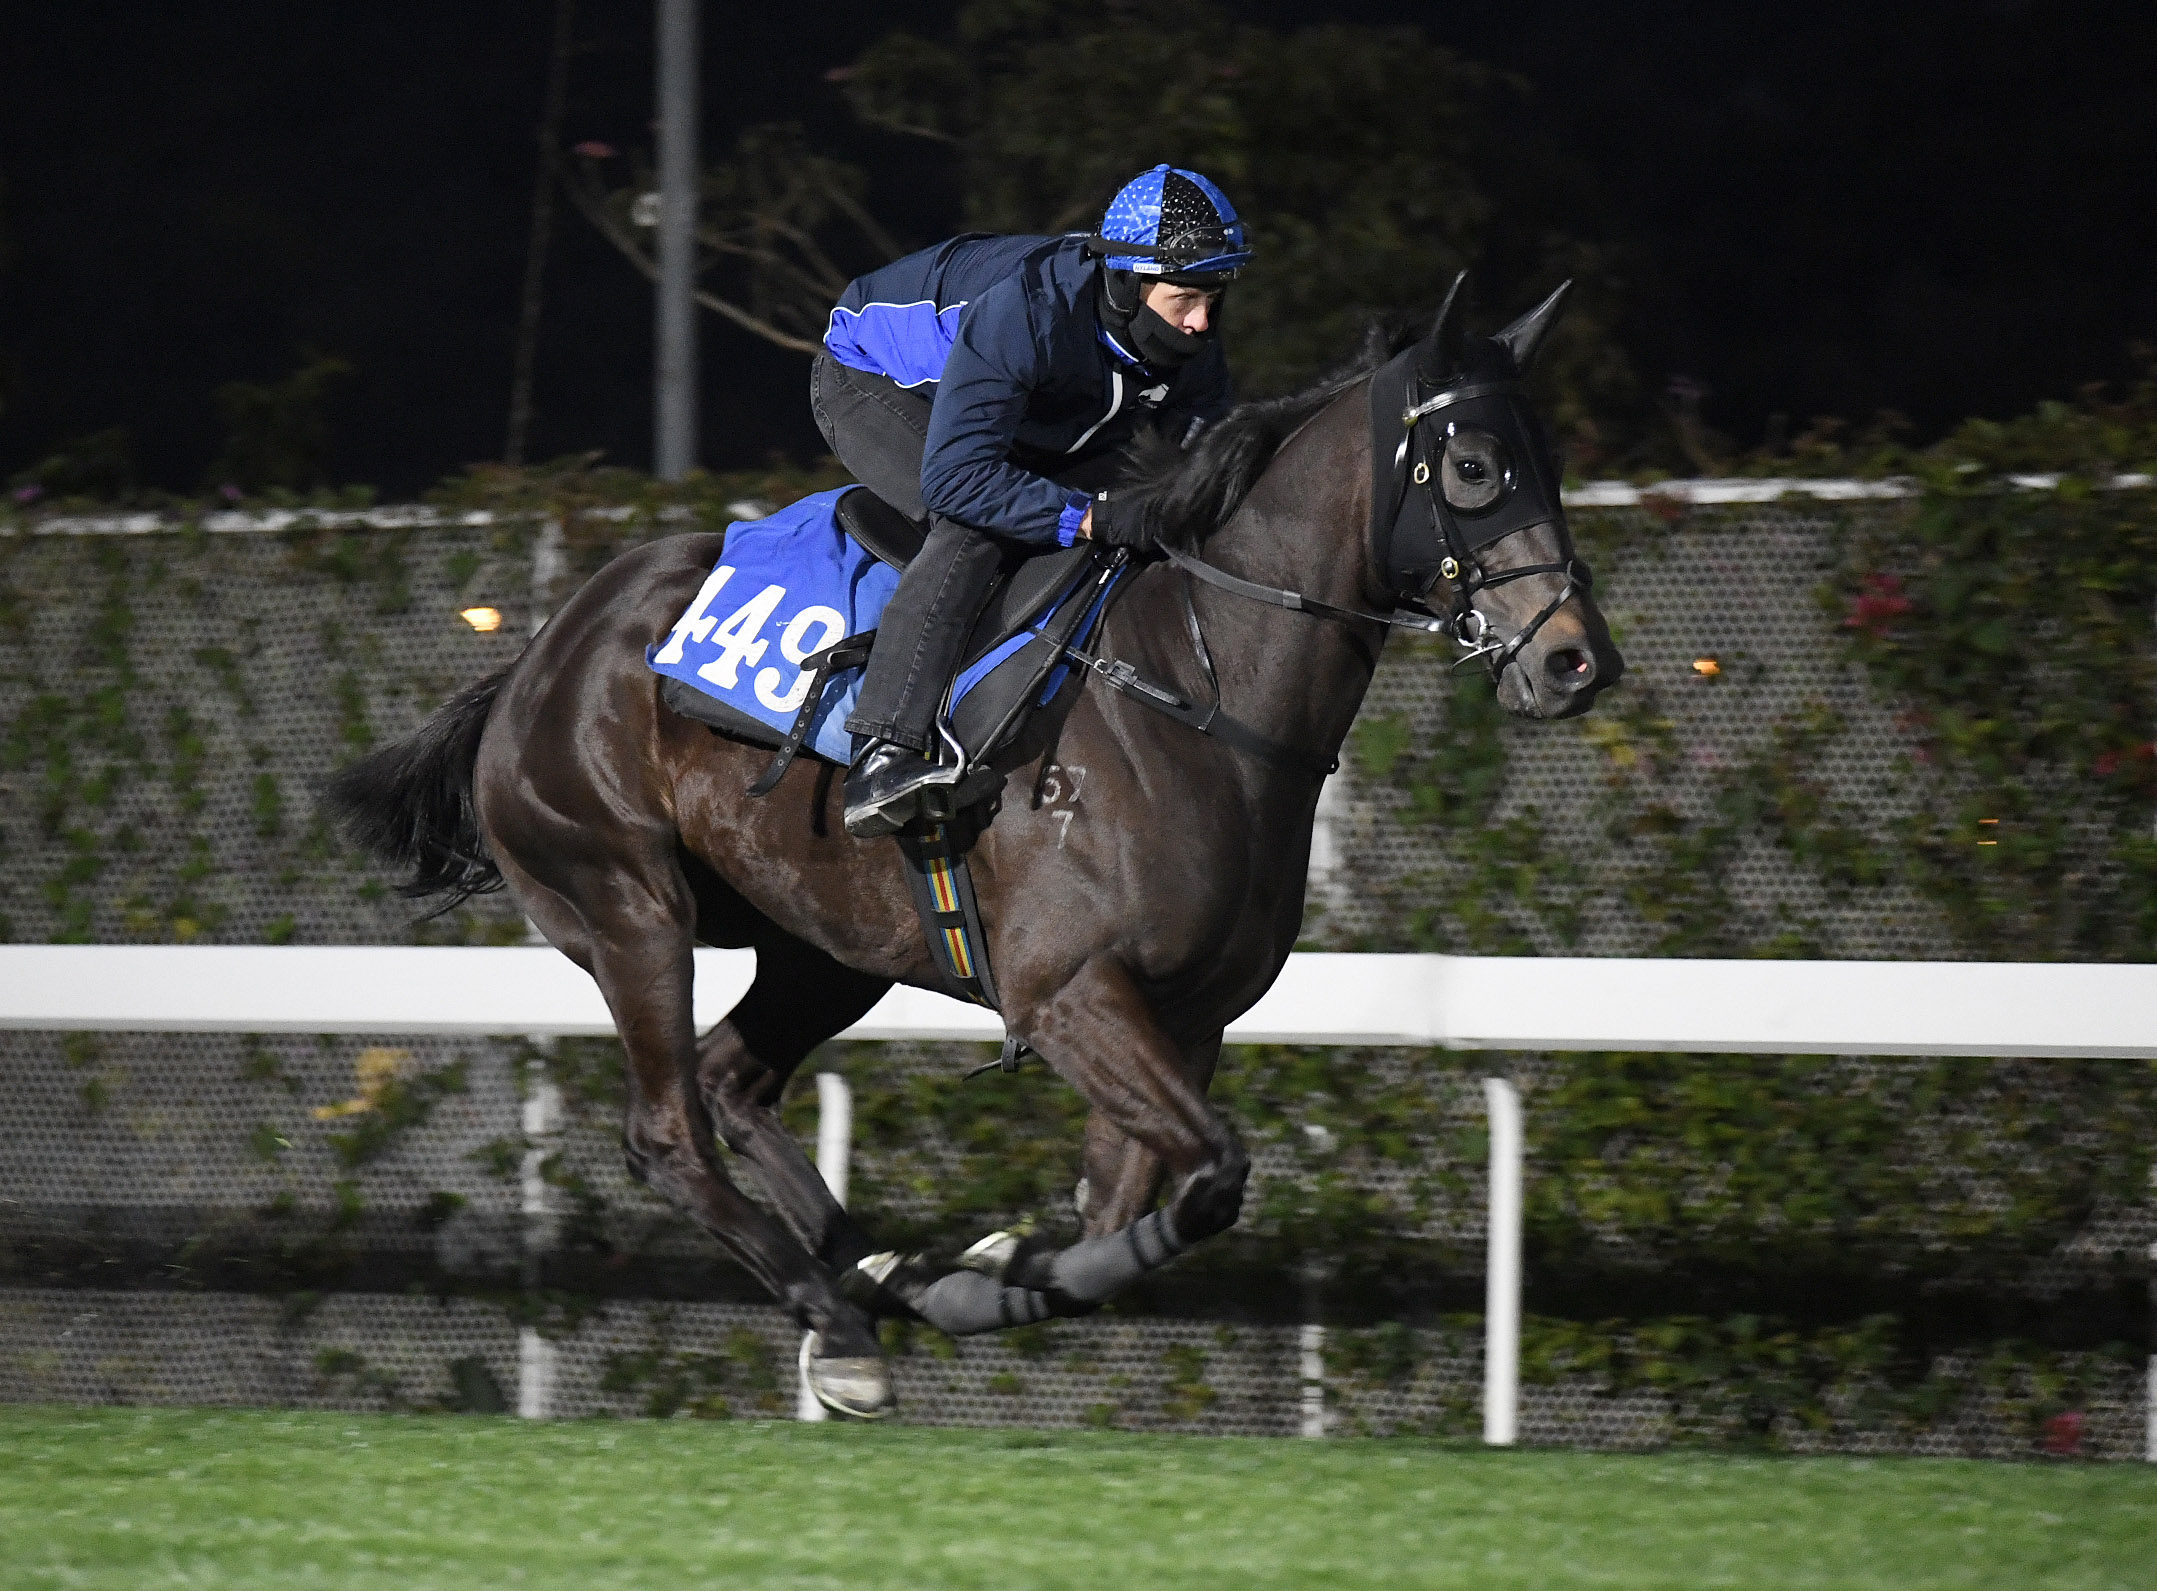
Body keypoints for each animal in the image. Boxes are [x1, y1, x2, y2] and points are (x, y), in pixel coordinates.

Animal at [327, 275, 1622, 1414]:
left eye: (1552, 466)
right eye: (1473, 466)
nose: (1577, 660)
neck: (1197, 689)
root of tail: (535, 656)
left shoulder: (1186, 1017)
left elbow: (1123, 1210)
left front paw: (984, 1270)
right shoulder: (1069, 993)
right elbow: (1209, 1182)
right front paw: (980, 1277)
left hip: (823, 945)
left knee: (736, 1081)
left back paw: (876, 1273)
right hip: (627, 904)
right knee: (667, 1130)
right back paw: (841, 1321)